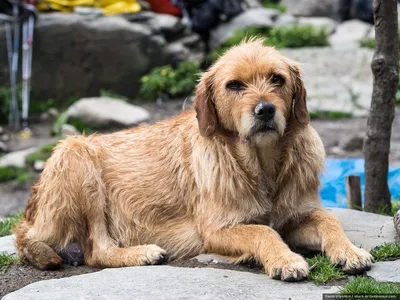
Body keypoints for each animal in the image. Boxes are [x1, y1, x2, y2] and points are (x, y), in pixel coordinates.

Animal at [14, 39, 372, 282]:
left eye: (277, 79)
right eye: (235, 85)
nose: (265, 110)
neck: (260, 164)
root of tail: (28, 220)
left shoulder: (296, 215)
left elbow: (329, 219)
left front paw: (349, 251)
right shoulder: (217, 230)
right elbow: (262, 232)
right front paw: (286, 260)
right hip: (75, 152)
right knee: (96, 251)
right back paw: (143, 253)